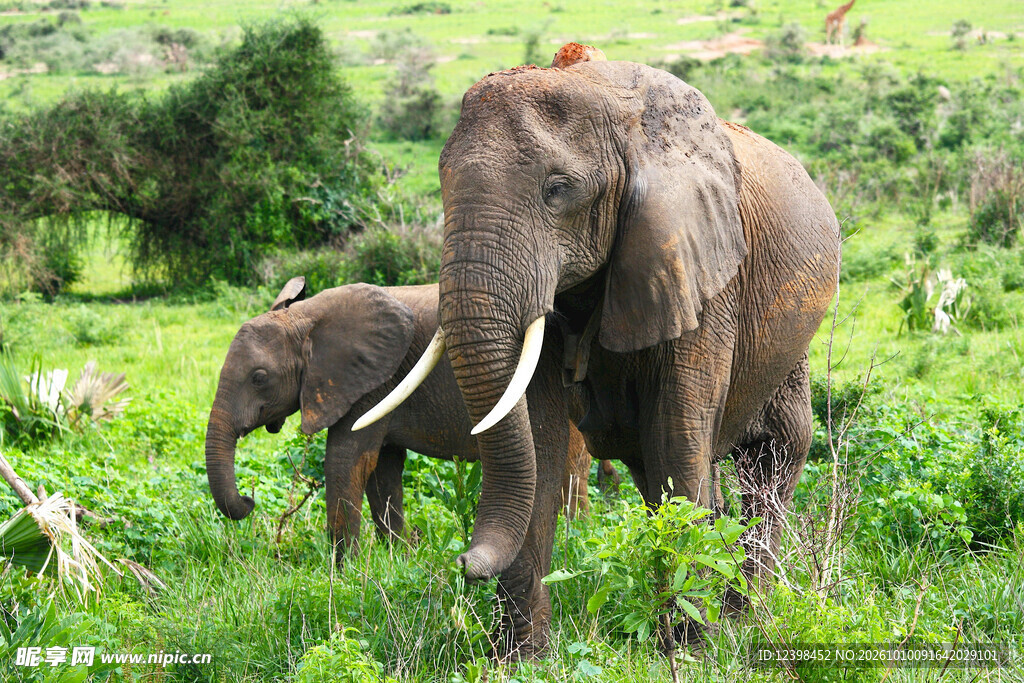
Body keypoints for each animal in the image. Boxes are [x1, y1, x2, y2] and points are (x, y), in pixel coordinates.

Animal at [204, 277, 611, 553]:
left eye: (259, 378)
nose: (249, 501)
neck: (304, 318)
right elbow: (382, 467)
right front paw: (398, 553)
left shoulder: (374, 381)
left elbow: (346, 460)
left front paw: (346, 568)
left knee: (569, 470)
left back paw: (578, 539)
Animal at [359, 45, 841, 655]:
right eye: (442, 184)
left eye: (557, 189)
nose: (461, 562)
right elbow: (539, 438)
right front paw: (520, 657)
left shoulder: (700, 268)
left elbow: (677, 432)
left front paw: (688, 647)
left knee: (771, 452)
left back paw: (739, 616)